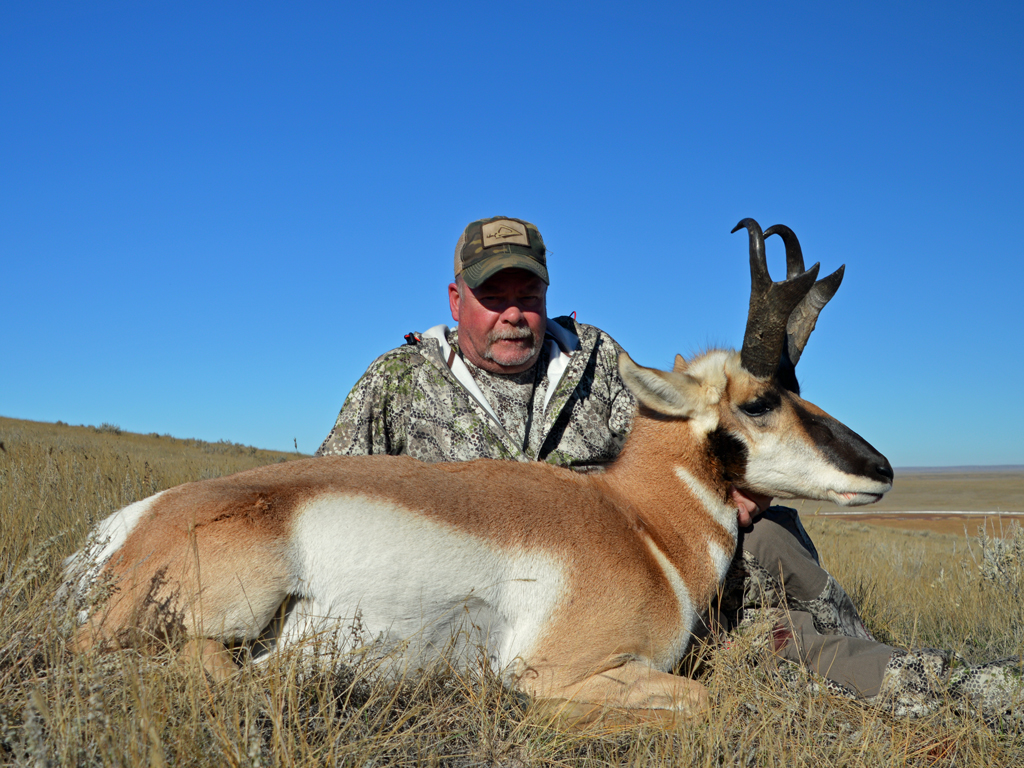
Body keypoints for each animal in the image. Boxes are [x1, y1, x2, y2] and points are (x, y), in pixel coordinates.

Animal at [68, 219, 892, 724]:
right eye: (759, 401)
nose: (881, 469)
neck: (641, 524)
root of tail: (121, 531)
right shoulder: (556, 668)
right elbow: (699, 701)